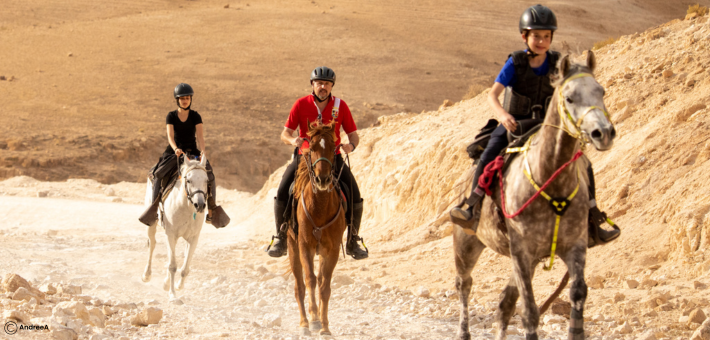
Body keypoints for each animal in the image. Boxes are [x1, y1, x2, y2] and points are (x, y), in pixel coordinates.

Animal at [141, 155, 209, 302]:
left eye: (207, 180)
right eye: (188, 180)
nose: (200, 205)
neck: (187, 208)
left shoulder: (193, 238)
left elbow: (185, 267)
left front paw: (177, 286)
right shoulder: (171, 234)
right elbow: (172, 266)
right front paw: (172, 294)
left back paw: (166, 282)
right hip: (153, 224)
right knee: (152, 245)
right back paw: (146, 275)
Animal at [286, 121, 348, 336]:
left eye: (333, 147)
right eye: (311, 148)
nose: (323, 180)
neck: (320, 206)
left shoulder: (333, 249)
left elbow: (324, 285)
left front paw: (325, 325)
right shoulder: (305, 246)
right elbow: (310, 280)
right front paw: (313, 320)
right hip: (292, 247)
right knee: (299, 286)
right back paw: (304, 322)